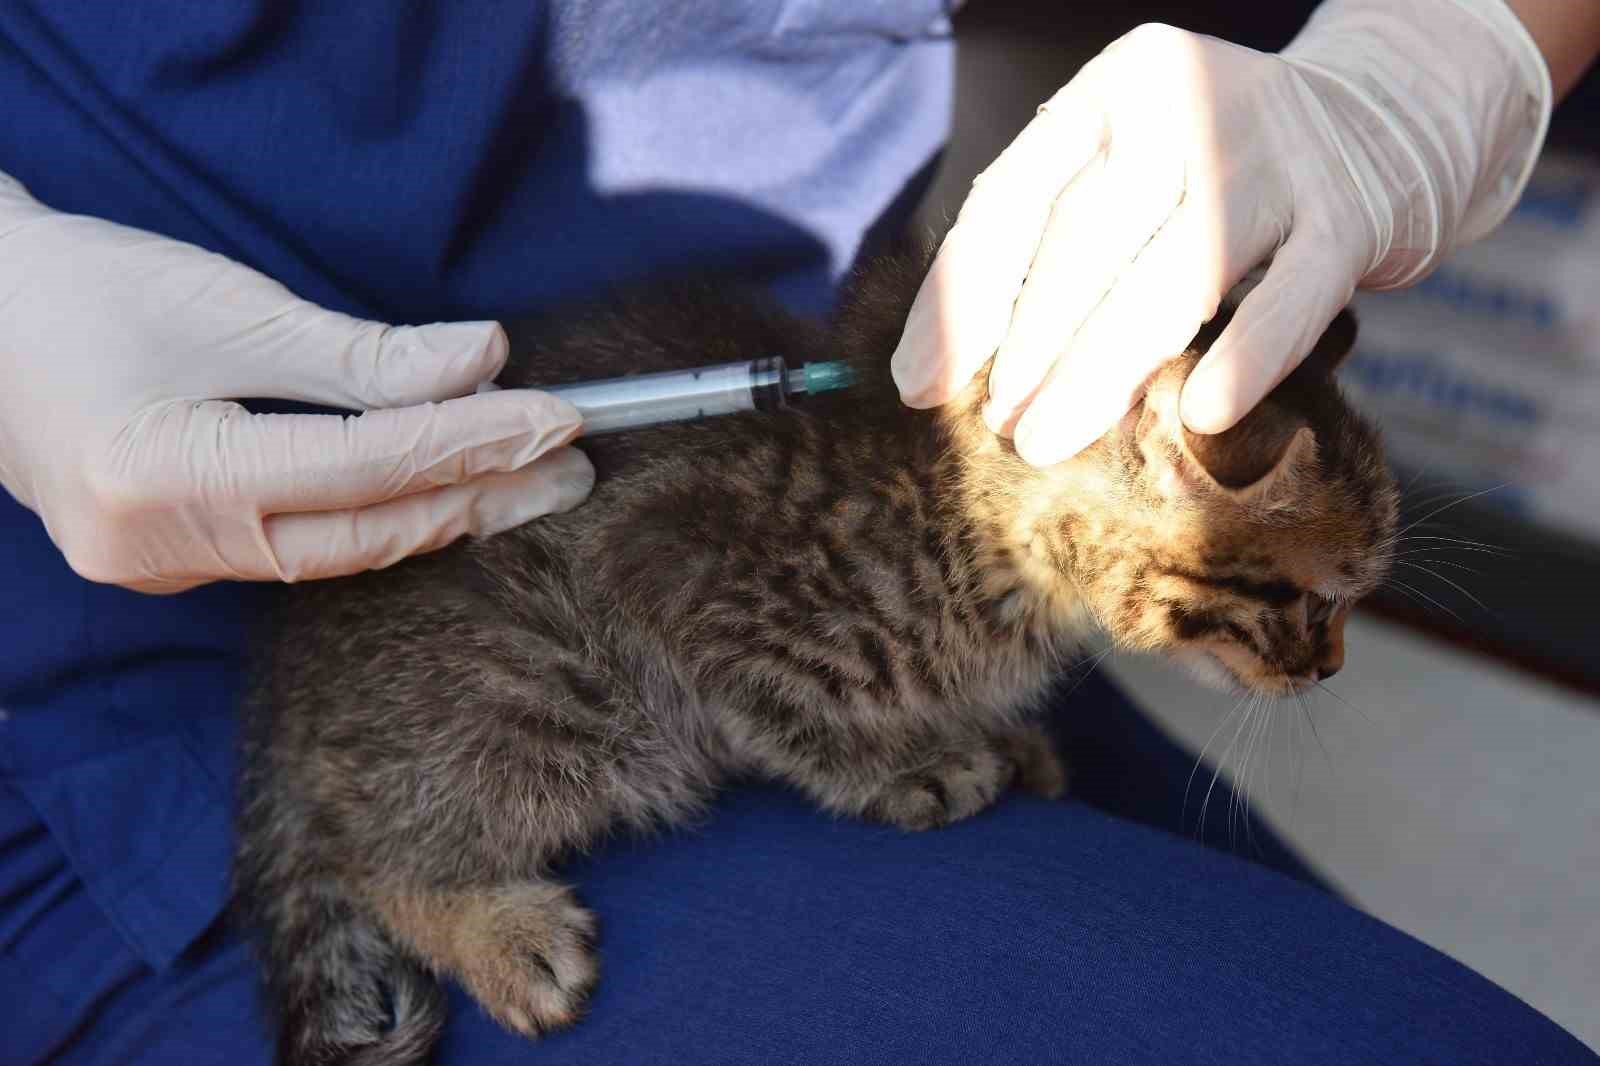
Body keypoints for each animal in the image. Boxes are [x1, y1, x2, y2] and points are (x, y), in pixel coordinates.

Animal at [232, 244, 1395, 1056]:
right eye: (1313, 601)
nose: (1332, 667)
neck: (978, 526)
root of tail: (288, 697)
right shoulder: (680, 572)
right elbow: (789, 717)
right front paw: (909, 765)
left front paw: (1000, 731)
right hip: (554, 697)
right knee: (372, 849)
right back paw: (495, 926)